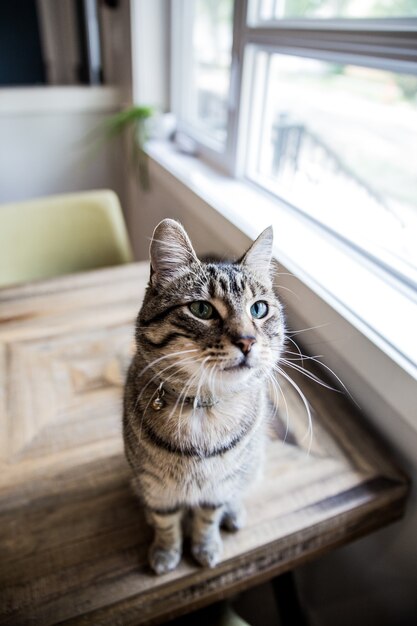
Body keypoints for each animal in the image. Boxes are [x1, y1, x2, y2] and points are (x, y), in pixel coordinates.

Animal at [122, 217, 284, 572]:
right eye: (201, 309)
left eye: (259, 309)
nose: (248, 340)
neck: (203, 408)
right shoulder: (156, 488)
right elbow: (166, 522)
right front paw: (166, 552)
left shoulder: (217, 489)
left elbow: (208, 519)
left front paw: (206, 547)